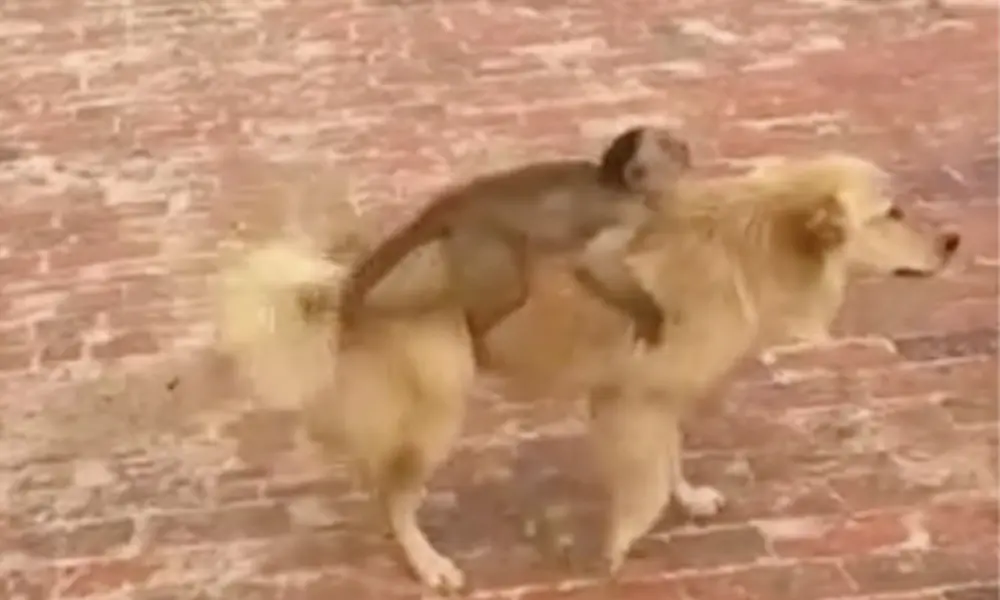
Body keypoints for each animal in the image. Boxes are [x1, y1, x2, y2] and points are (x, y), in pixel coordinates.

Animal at [338, 126, 692, 366]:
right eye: (665, 146)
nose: (683, 146)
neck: (629, 190)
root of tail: (457, 200)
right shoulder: (624, 212)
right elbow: (592, 262)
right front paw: (651, 316)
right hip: (481, 239)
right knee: (511, 292)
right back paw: (476, 339)